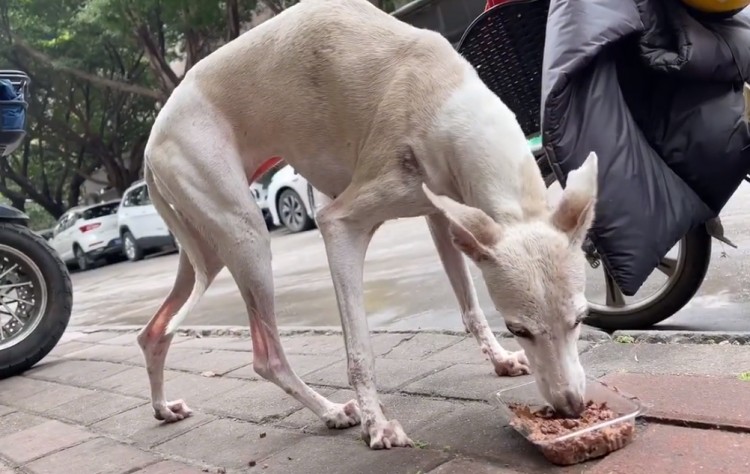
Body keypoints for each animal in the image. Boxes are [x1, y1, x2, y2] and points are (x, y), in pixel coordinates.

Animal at [138, 0, 604, 452]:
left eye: (581, 318)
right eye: (518, 328)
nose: (571, 407)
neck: (447, 97)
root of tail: (150, 143)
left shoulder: (442, 214)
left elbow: (470, 306)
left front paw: (501, 360)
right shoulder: (340, 223)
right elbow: (360, 349)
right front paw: (376, 426)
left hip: (206, 244)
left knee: (153, 331)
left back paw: (163, 408)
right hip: (245, 234)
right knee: (265, 356)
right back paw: (331, 411)